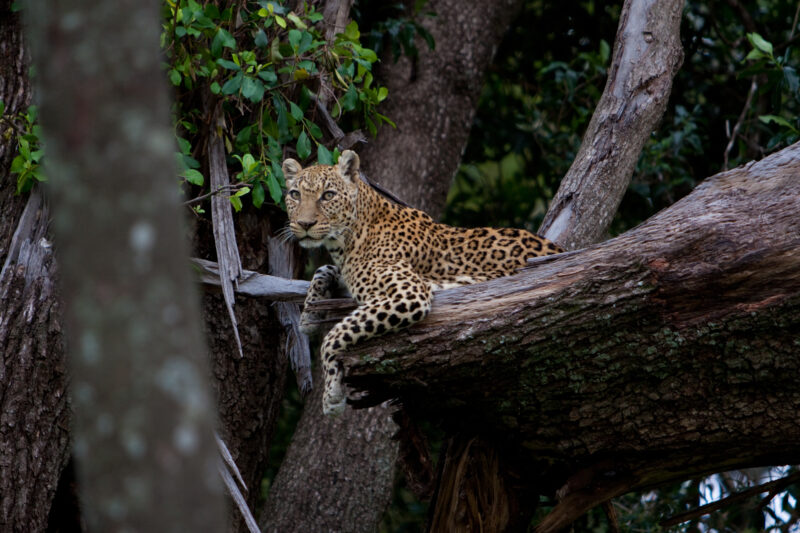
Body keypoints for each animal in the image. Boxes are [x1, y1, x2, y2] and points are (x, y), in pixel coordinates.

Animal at [282, 150, 563, 416]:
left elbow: (336, 334)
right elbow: (323, 270)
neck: (347, 240)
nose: (304, 224)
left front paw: (332, 395)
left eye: (328, 195)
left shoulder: (410, 293)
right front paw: (309, 316)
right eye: (295, 194)